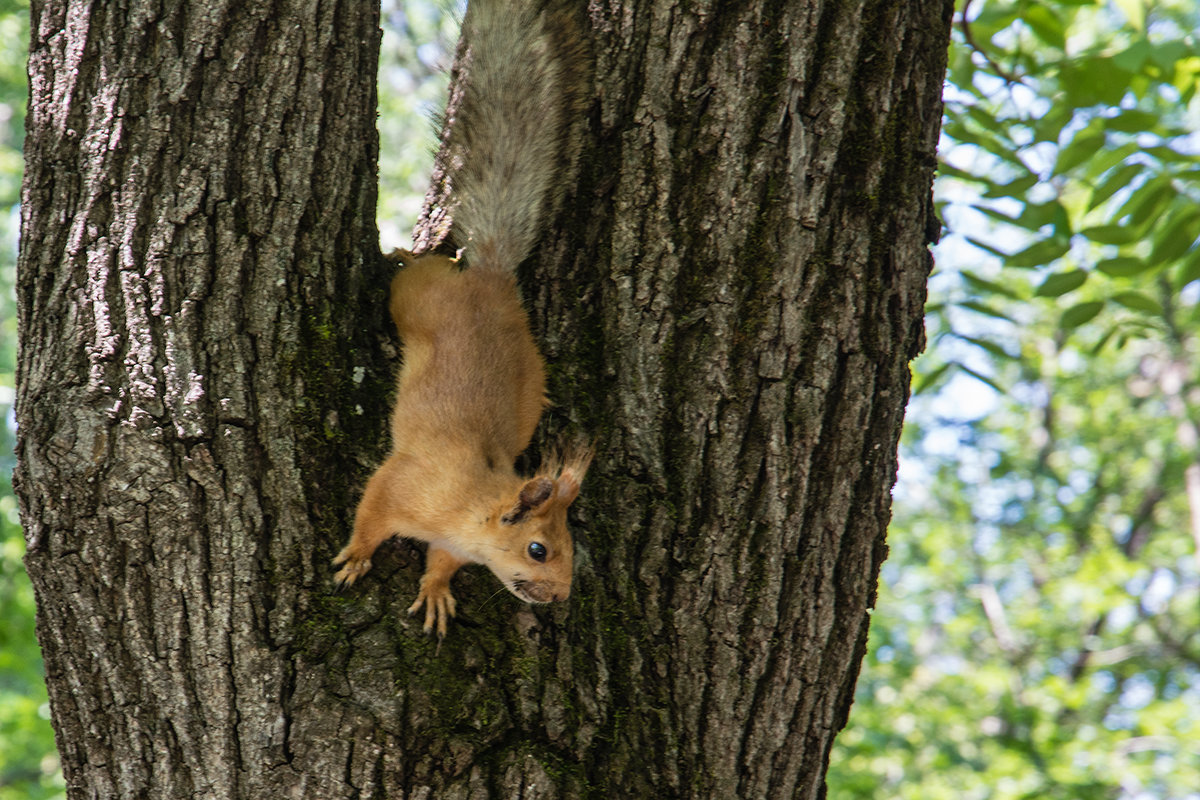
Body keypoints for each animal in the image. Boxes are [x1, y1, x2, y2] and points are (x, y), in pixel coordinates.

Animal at [331, 0, 592, 638]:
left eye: (571, 550)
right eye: (538, 550)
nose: (559, 597)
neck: (471, 505)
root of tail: (491, 280)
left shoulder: (453, 543)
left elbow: (442, 563)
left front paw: (436, 591)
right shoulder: (398, 483)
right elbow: (370, 515)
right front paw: (357, 557)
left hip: (528, 370)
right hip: (418, 299)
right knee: (414, 275)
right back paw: (403, 254)